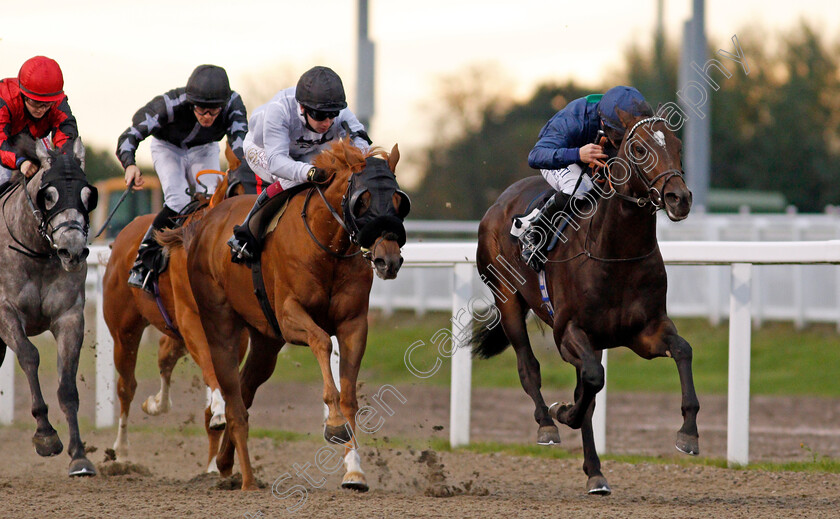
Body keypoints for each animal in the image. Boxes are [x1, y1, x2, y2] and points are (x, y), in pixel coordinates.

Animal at [0, 137, 97, 476]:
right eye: (49, 195)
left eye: (88, 195)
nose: (73, 251)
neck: (37, 253)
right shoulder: (5, 313)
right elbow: (29, 356)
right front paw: (45, 435)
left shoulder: (70, 317)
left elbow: (67, 386)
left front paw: (79, 455)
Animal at [101, 170, 246, 472]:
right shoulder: (191, 320)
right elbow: (211, 369)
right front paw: (219, 409)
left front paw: (214, 465)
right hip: (124, 333)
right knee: (126, 387)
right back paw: (121, 450)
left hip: (172, 331)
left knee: (164, 356)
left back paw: (157, 404)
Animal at [162, 139, 410, 492]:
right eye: (362, 201)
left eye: (399, 202)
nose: (388, 261)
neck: (327, 249)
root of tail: (205, 221)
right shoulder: (289, 315)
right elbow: (321, 342)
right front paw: (334, 424)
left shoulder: (353, 325)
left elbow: (350, 396)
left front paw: (354, 472)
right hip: (219, 327)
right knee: (233, 400)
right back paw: (247, 480)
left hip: (265, 343)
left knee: (245, 390)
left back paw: (225, 463)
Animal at [472, 108, 696, 496]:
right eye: (639, 148)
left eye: (678, 145)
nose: (678, 198)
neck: (615, 253)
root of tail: (499, 203)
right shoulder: (567, 333)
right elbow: (590, 381)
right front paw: (562, 413)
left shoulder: (645, 331)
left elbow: (682, 350)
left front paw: (688, 433)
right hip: (508, 299)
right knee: (528, 367)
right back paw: (547, 423)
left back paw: (595, 472)